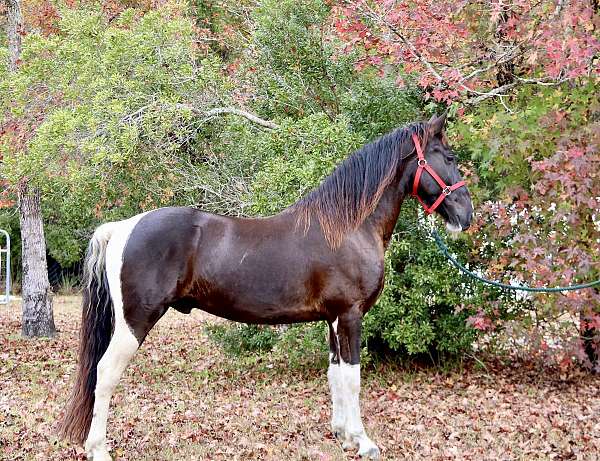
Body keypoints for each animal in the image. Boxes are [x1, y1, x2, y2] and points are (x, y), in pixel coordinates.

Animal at [58, 113, 472, 458]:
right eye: (449, 157)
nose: (465, 215)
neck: (349, 226)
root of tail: (123, 227)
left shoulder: (332, 320)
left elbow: (335, 376)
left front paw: (343, 435)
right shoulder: (350, 316)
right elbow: (353, 378)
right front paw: (364, 442)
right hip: (135, 323)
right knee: (105, 374)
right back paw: (99, 449)